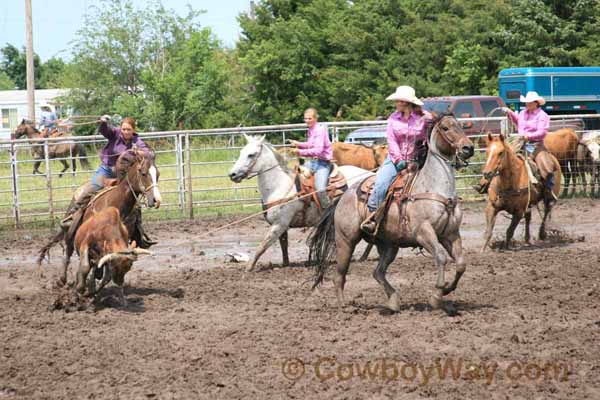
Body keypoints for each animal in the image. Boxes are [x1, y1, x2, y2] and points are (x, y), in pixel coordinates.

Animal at [37, 148, 162, 284]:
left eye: (158, 175)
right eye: (143, 173)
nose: (156, 200)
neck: (115, 203)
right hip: (71, 229)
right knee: (68, 251)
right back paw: (62, 279)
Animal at [230, 135, 376, 272]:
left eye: (251, 154)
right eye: (241, 152)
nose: (232, 174)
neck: (279, 186)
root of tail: (370, 175)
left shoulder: (279, 224)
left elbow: (262, 246)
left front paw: (248, 268)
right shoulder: (282, 225)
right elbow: (283, 245)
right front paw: (285, 264)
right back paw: (363, 256)